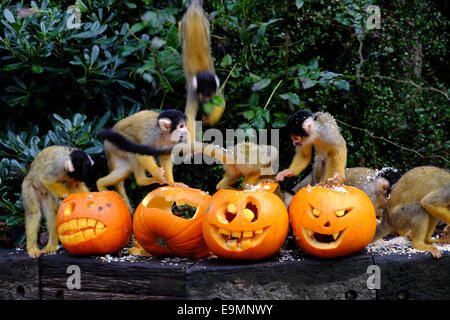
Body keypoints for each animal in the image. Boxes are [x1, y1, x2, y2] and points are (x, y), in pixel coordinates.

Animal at [178, 0, 222, 142]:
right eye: (202, 95)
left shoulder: (216, 87)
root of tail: (194, 9)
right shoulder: (193, 91)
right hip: (186, 22)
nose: (205, 101)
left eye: (209, 95)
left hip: (204, 21)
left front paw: (209, 120)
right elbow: (189, 115)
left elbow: (222, 102)